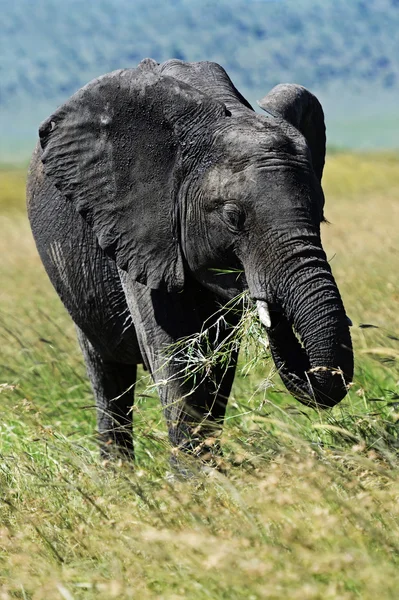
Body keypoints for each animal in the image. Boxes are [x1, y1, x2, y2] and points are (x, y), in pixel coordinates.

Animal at [26, 57, 354, 464]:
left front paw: (210, 469)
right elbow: (175, 353)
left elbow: (216, 359)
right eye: (233, 218)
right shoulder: (142, 224)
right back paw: (118, 472)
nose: (271, 308)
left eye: (320, 215)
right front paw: (195, 475)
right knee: (106, 369)